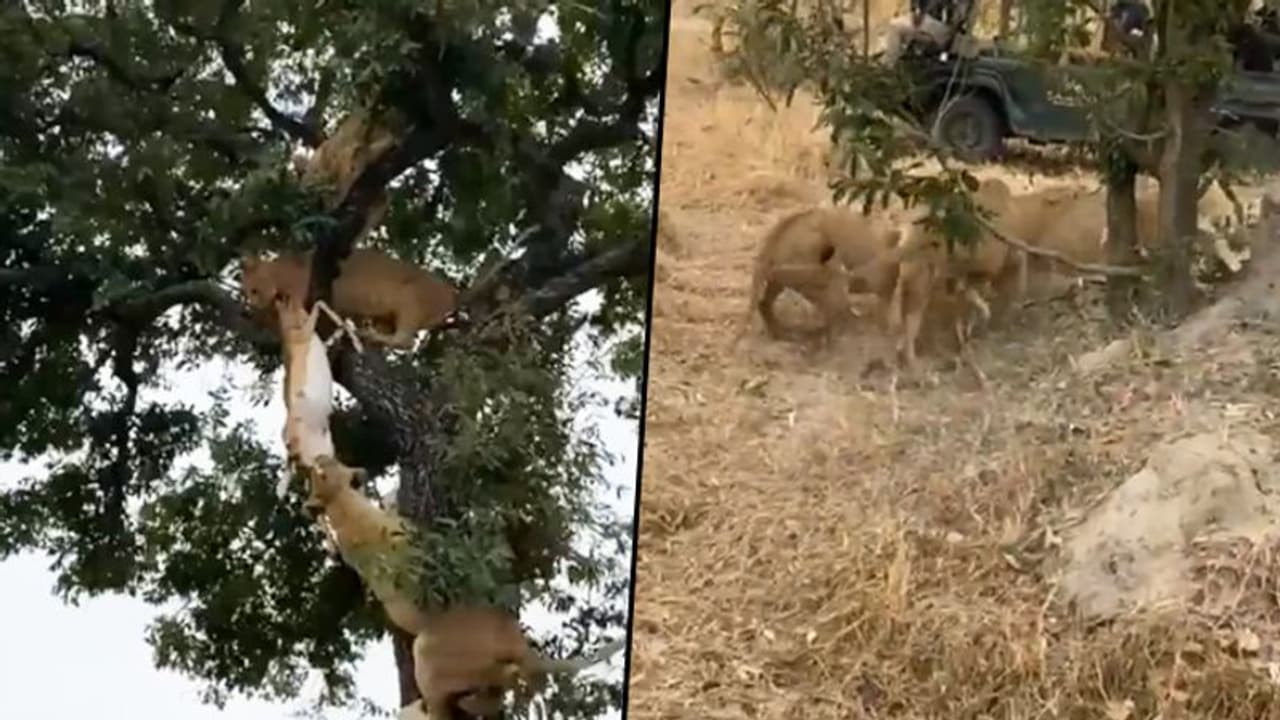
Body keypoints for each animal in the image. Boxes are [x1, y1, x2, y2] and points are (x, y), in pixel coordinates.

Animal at [240, 248, 458, 349]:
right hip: (388, 315)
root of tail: (450, 291)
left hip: (408, 300)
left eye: (254, 291)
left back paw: (371, 336)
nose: (252, 304)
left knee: (406, 341)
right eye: (247, 293)